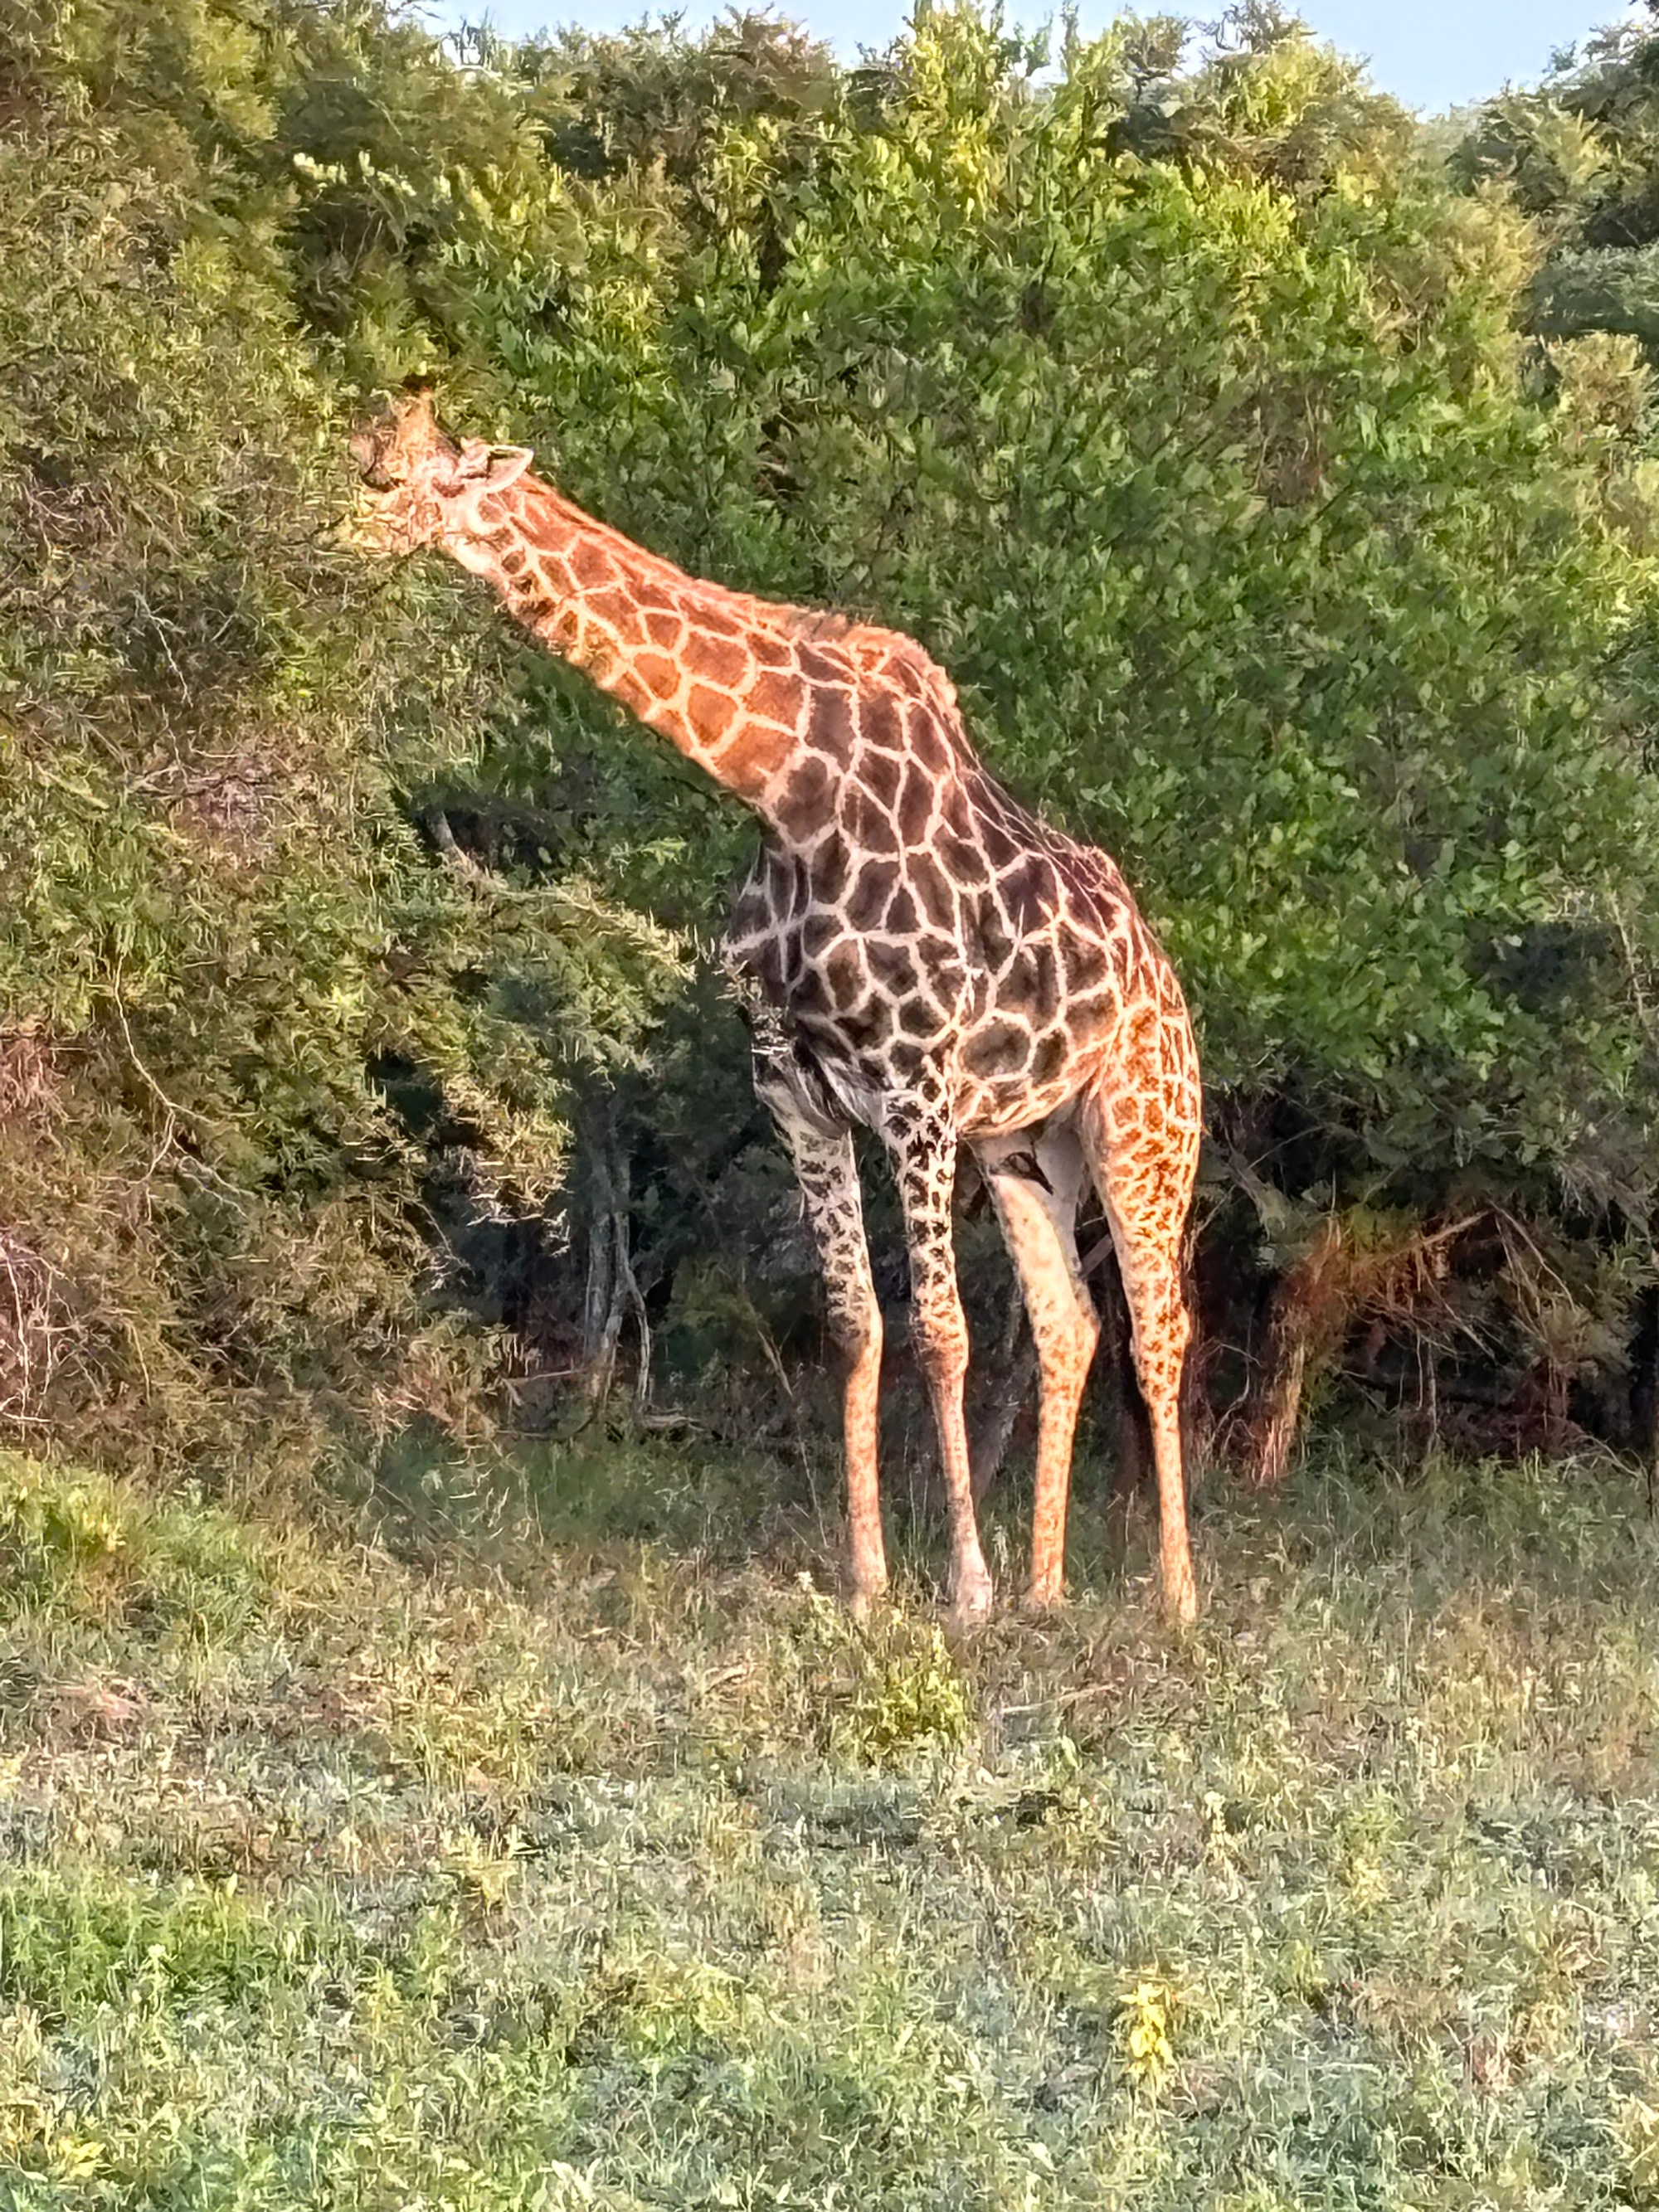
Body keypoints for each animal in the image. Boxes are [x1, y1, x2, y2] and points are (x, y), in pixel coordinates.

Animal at [353, 385, 1212, 1627]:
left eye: (385, 480)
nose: (310, 530)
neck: (781, 781)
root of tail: (1166, 982)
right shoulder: (796, 1089)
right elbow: (856, 1325)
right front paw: (868, 1577)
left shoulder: (913, 1086)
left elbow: (940, 1335)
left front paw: (963, 1587)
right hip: (1024, 1142)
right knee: (1069, 1326)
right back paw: (1051, 1589)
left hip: (1143, 1123)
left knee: (1158, 1329)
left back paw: (1174, 1596)